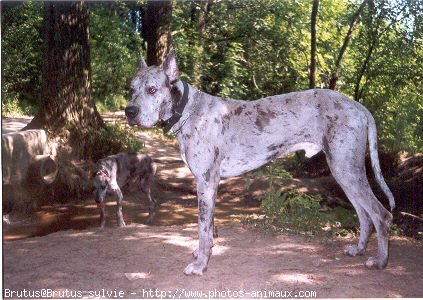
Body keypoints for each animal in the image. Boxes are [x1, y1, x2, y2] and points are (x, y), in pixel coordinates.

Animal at [124, 49, 396, 276]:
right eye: (131, 89)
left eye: (152, 90)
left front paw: (200, 264)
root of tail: (359, 106)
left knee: (381, 214)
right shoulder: (208, 184)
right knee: (365, 214)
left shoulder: (206, 182)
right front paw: (204, 253)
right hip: (344, 173)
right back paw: (358, 249)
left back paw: (380, 261)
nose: (129, 112)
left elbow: (202, 228)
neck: (188, 110)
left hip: (347, 169)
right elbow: (209, 228)